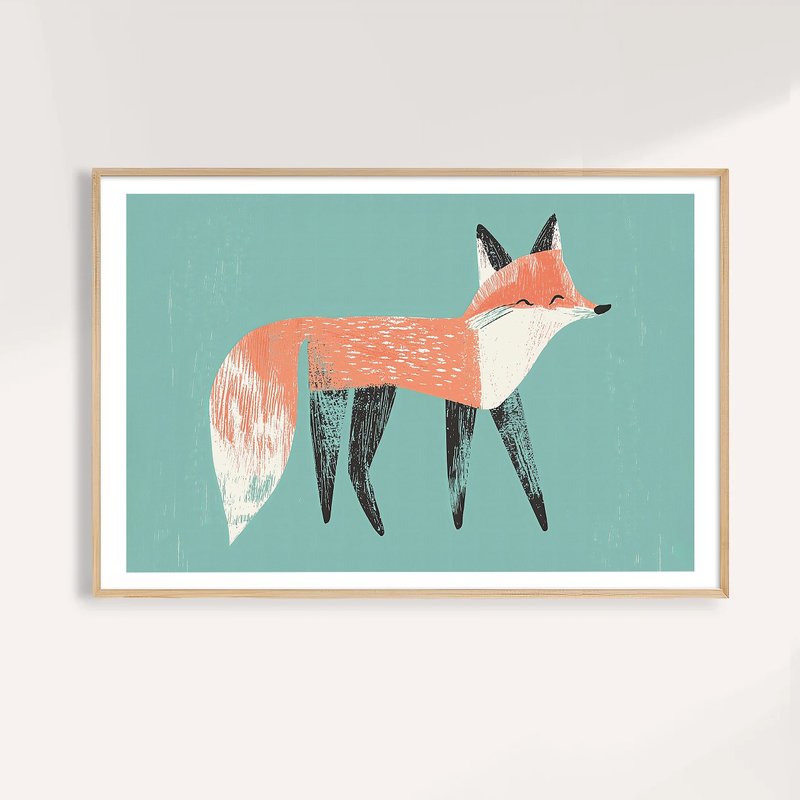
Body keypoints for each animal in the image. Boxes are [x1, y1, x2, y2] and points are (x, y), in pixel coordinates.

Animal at [210, 214, 611, 543]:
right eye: (534, 299)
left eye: (566, 290)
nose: (600, 308)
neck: (496, 347)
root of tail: (323, 321)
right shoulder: (466, 405)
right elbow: (461, 474)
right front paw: (463, 523)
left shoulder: (495, 404)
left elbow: (516, 476)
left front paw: (531, 520)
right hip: (337, 401)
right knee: (334, 465)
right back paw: (352, 522)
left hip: (375, 399)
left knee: (355, 467)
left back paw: (362, 521)